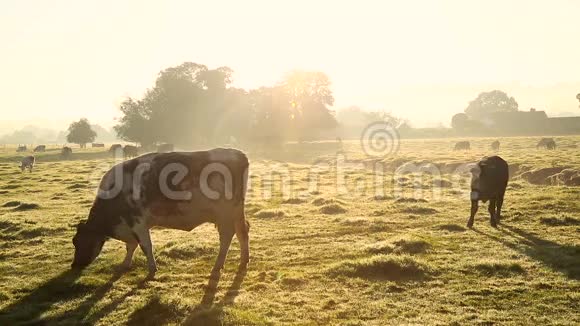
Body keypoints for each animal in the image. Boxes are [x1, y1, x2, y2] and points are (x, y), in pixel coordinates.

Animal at [70, 149, 249, 278]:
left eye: (78, 241)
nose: (74, 265)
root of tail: (238, 154)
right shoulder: (131, 226)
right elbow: (131, 246)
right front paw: (125, 263)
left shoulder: (138, 223)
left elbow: (145, 246)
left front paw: (151, 269)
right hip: (236, 212)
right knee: (243, 231)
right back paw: (243, 261)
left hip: (225, 214)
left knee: (227, 236)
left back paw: (217, 266)